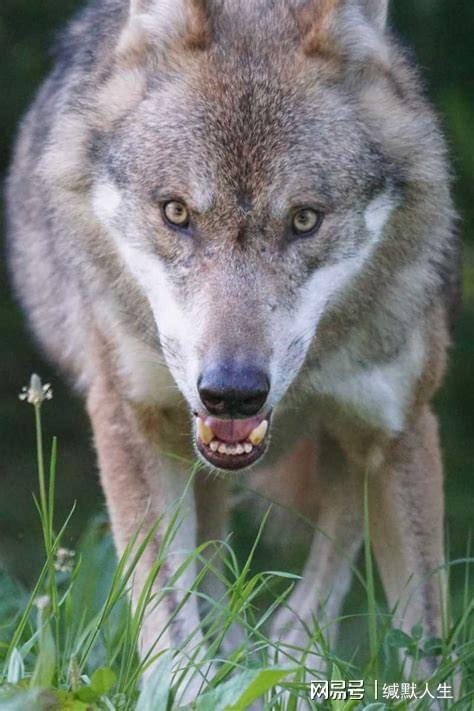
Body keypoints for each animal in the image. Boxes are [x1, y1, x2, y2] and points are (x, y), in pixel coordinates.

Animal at [6, 0, 460, 700]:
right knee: (215, 568)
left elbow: (427, 640)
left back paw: (287, 660)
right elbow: (166, 616)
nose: (233, 391)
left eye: (304, 219)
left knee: (325, 561)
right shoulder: (131, 419)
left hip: (348, 450)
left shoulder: (398, 427)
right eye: (176, 213)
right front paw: (191, 691)